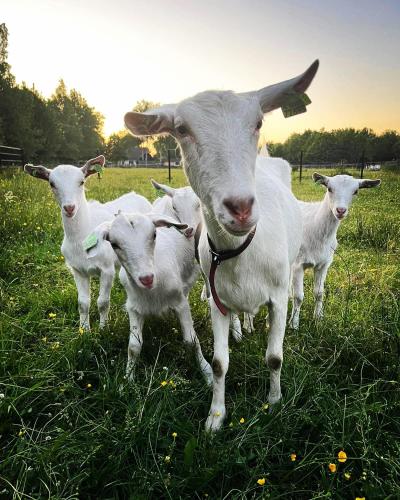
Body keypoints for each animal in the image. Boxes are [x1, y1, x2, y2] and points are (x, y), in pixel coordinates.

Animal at [23, 156, 152, 328]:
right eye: (52, 183)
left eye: (82, 181)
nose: (69, 208)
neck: (82, 240)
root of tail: (136, 194)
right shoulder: (78, 270)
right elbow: (83, 303)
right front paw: (84, 329)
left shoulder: (107, 269)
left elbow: (103, 302)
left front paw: (103, 328)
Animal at [86, 211, 214, 382]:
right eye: (114, 244)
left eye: (154, 235)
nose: (146, 278)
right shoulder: (134, 308)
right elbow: (134, 346)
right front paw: (128, 380)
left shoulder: (180, 303)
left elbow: (191, 341)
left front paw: (207, 373)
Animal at [124, 60, 318, 432]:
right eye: (181, 129)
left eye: (258, 123)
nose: (240, 207)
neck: (242, 250)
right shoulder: (217, 300)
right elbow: (217, 363)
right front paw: (215, 417)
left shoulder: (278, 296)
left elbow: (275, 357)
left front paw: (274, 401)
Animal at [290, 171, 380, 328]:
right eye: (329, 188)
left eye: (356, 191)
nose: (340, 210)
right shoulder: (298, 265)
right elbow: (298, 296)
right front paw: (294, 325)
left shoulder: (324, 264)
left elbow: (319, 293)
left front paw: (318, 318)